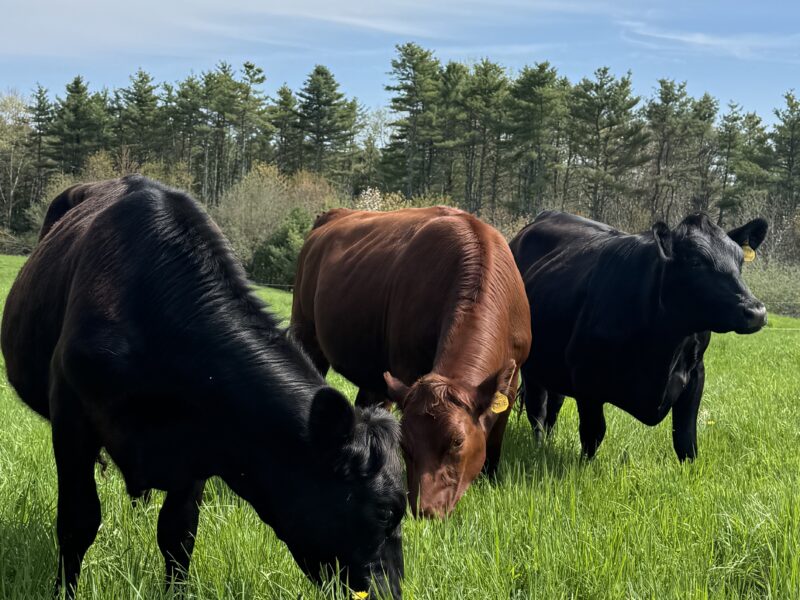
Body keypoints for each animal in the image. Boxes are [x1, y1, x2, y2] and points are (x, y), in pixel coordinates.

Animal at [1, 176, 405, 599]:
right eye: (386, 512)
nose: (392, 592)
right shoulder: (71, 419)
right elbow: (77, 521)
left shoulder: (199, 445)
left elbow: (178, 534)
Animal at [290, 207, 531, 518]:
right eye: (404, 442)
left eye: (457, 441)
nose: (425, 511)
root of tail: (334, 213)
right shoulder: (405, 367)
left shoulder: (512, 380)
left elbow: (496, 437)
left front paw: (490, 480)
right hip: (305, 330)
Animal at [509, 210, 768, 461]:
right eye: (696, 261)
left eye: (740, 261)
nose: (756, 311)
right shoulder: (585, 378)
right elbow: (593, 433)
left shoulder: (695, 374)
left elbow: (686, 440)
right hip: (532, 365)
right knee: (538, 410)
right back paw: (539, 448)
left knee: (554, 405)